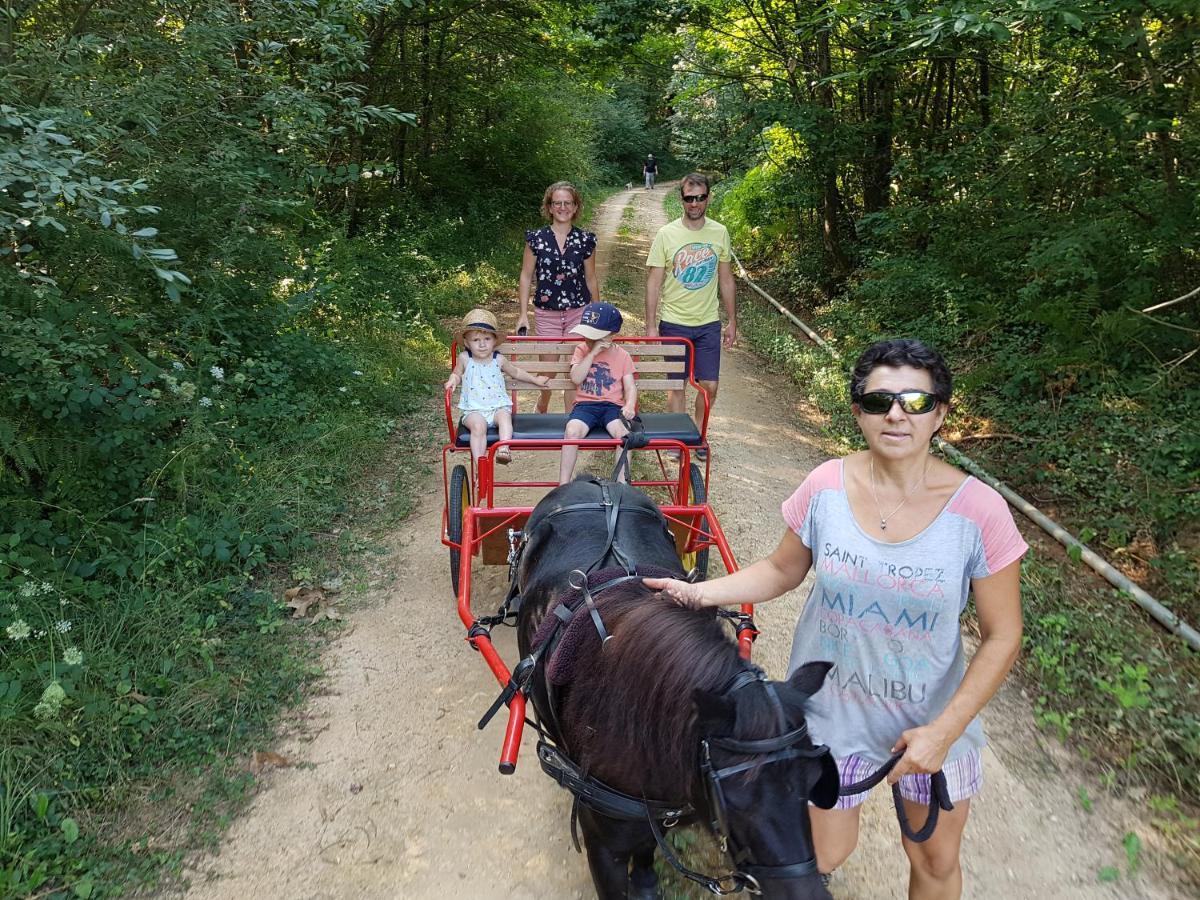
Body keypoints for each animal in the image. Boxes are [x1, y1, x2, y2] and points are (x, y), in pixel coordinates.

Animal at [513, 482, 835, 900]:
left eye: (814, 778)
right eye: (734, 799)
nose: (809, 893)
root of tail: (594, 482)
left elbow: (649, 845)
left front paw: (646, 878)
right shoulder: (602, 845)